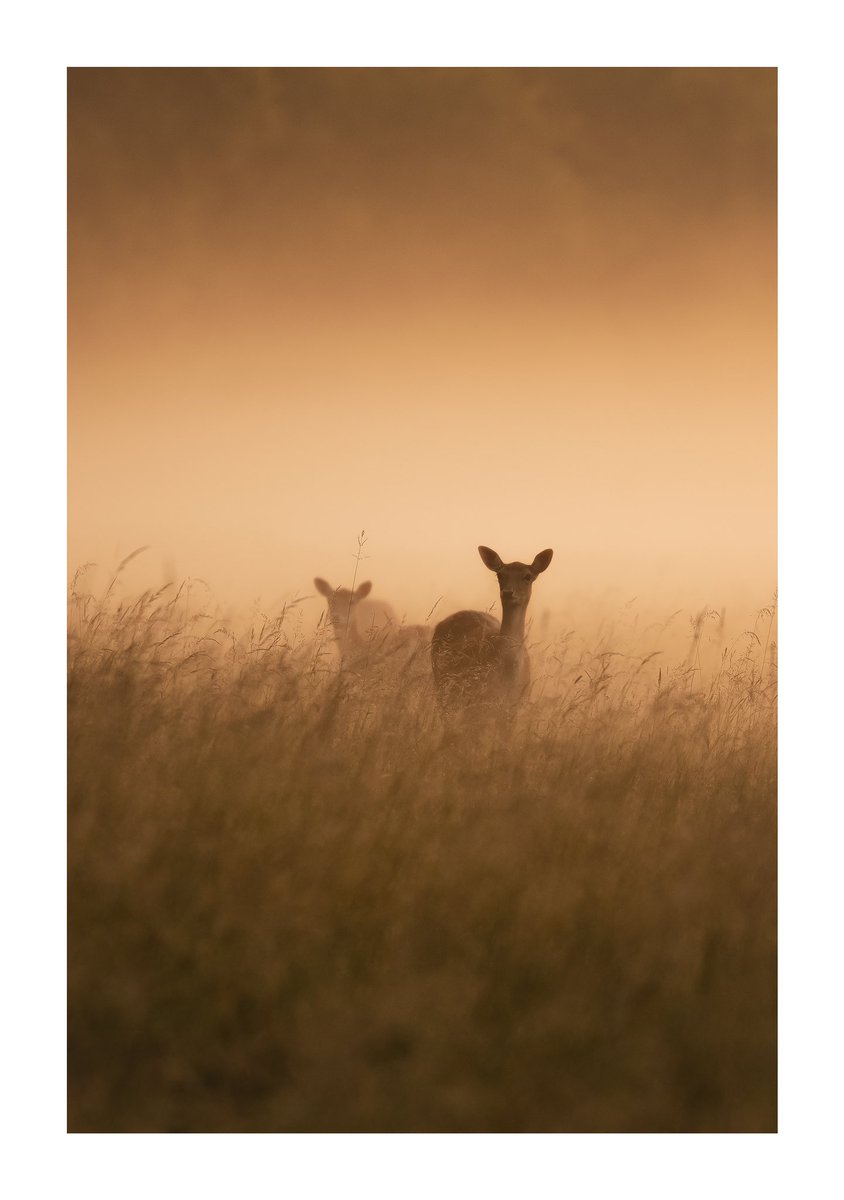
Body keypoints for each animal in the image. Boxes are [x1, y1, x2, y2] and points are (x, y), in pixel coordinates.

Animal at [430, 546, 553, 716]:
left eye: (528, 576)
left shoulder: (517, 706)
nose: (507, 592)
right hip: (442, 684)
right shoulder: (479, 702)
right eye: (500, 574)